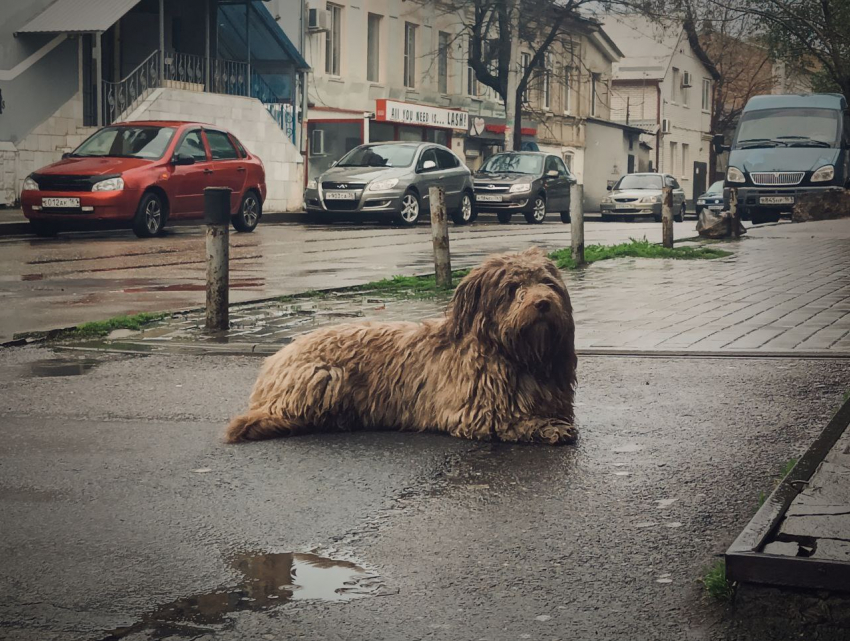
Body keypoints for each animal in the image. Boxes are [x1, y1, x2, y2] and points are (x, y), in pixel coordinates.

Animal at [224, 246, 576, 444]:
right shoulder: (475, 411)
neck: (517, 356)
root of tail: (273, 360)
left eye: (547, 282)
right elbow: (513, 421)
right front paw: (549, 428)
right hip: (323, 376)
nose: (543, 303)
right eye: (512, 288)